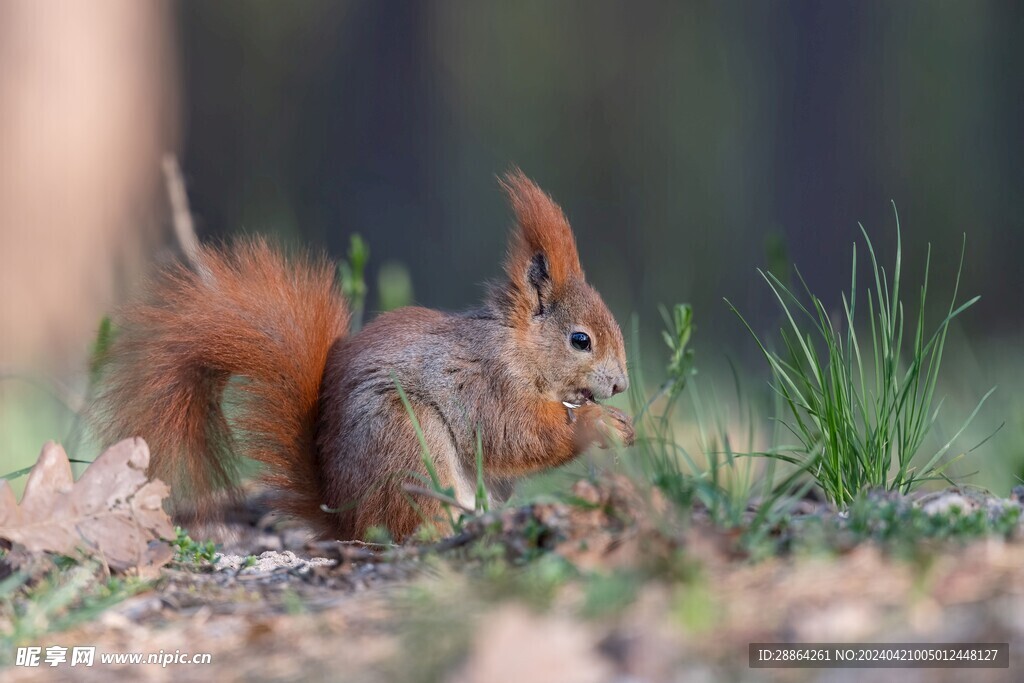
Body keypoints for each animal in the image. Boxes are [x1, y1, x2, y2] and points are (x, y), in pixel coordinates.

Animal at [99, 171, 634, 540]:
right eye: (580, 340)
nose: (621, 386)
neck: (517, 346)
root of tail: (348, 521)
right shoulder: (485, 381)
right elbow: (515, 435)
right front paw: (599, 424)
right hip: (407, 445)